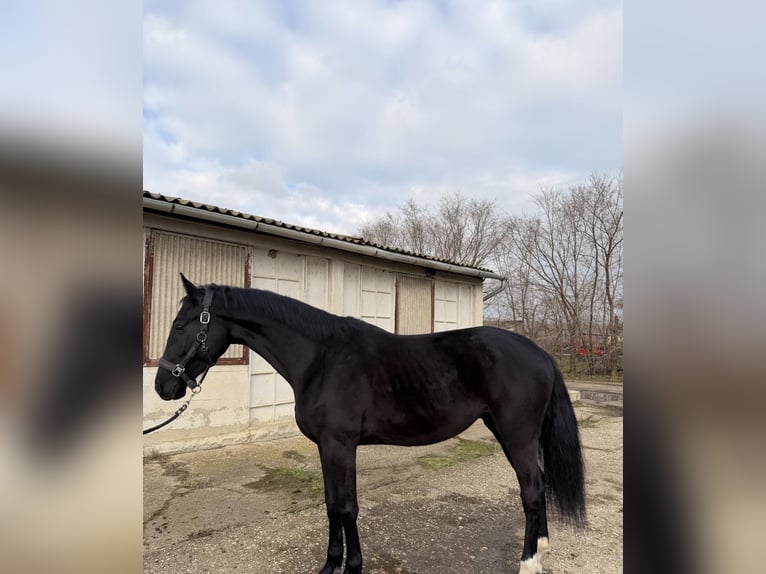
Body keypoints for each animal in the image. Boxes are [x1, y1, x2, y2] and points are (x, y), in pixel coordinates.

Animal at [153, 274, 586, 574]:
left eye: (180, 325)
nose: (163, 386)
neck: (322, 358)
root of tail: (540, 352)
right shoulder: (326, 447)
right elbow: (331, 504)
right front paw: (331, 564)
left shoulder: (340, 445)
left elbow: (347, 506)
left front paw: (353, 566)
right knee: (537, 486)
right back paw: (541, 550)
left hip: (518, 435)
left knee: (531, 492)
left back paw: (529, 563)